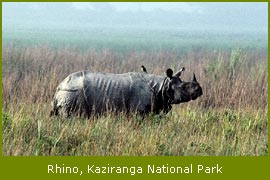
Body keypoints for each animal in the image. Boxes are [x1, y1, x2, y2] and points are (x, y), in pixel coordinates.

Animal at [50, 67, 202, 116]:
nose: (199, 90)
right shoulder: (138, 111)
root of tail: (59, 86)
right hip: (73, 92)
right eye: (183, 88)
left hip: (68, 92)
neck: (163, 86)